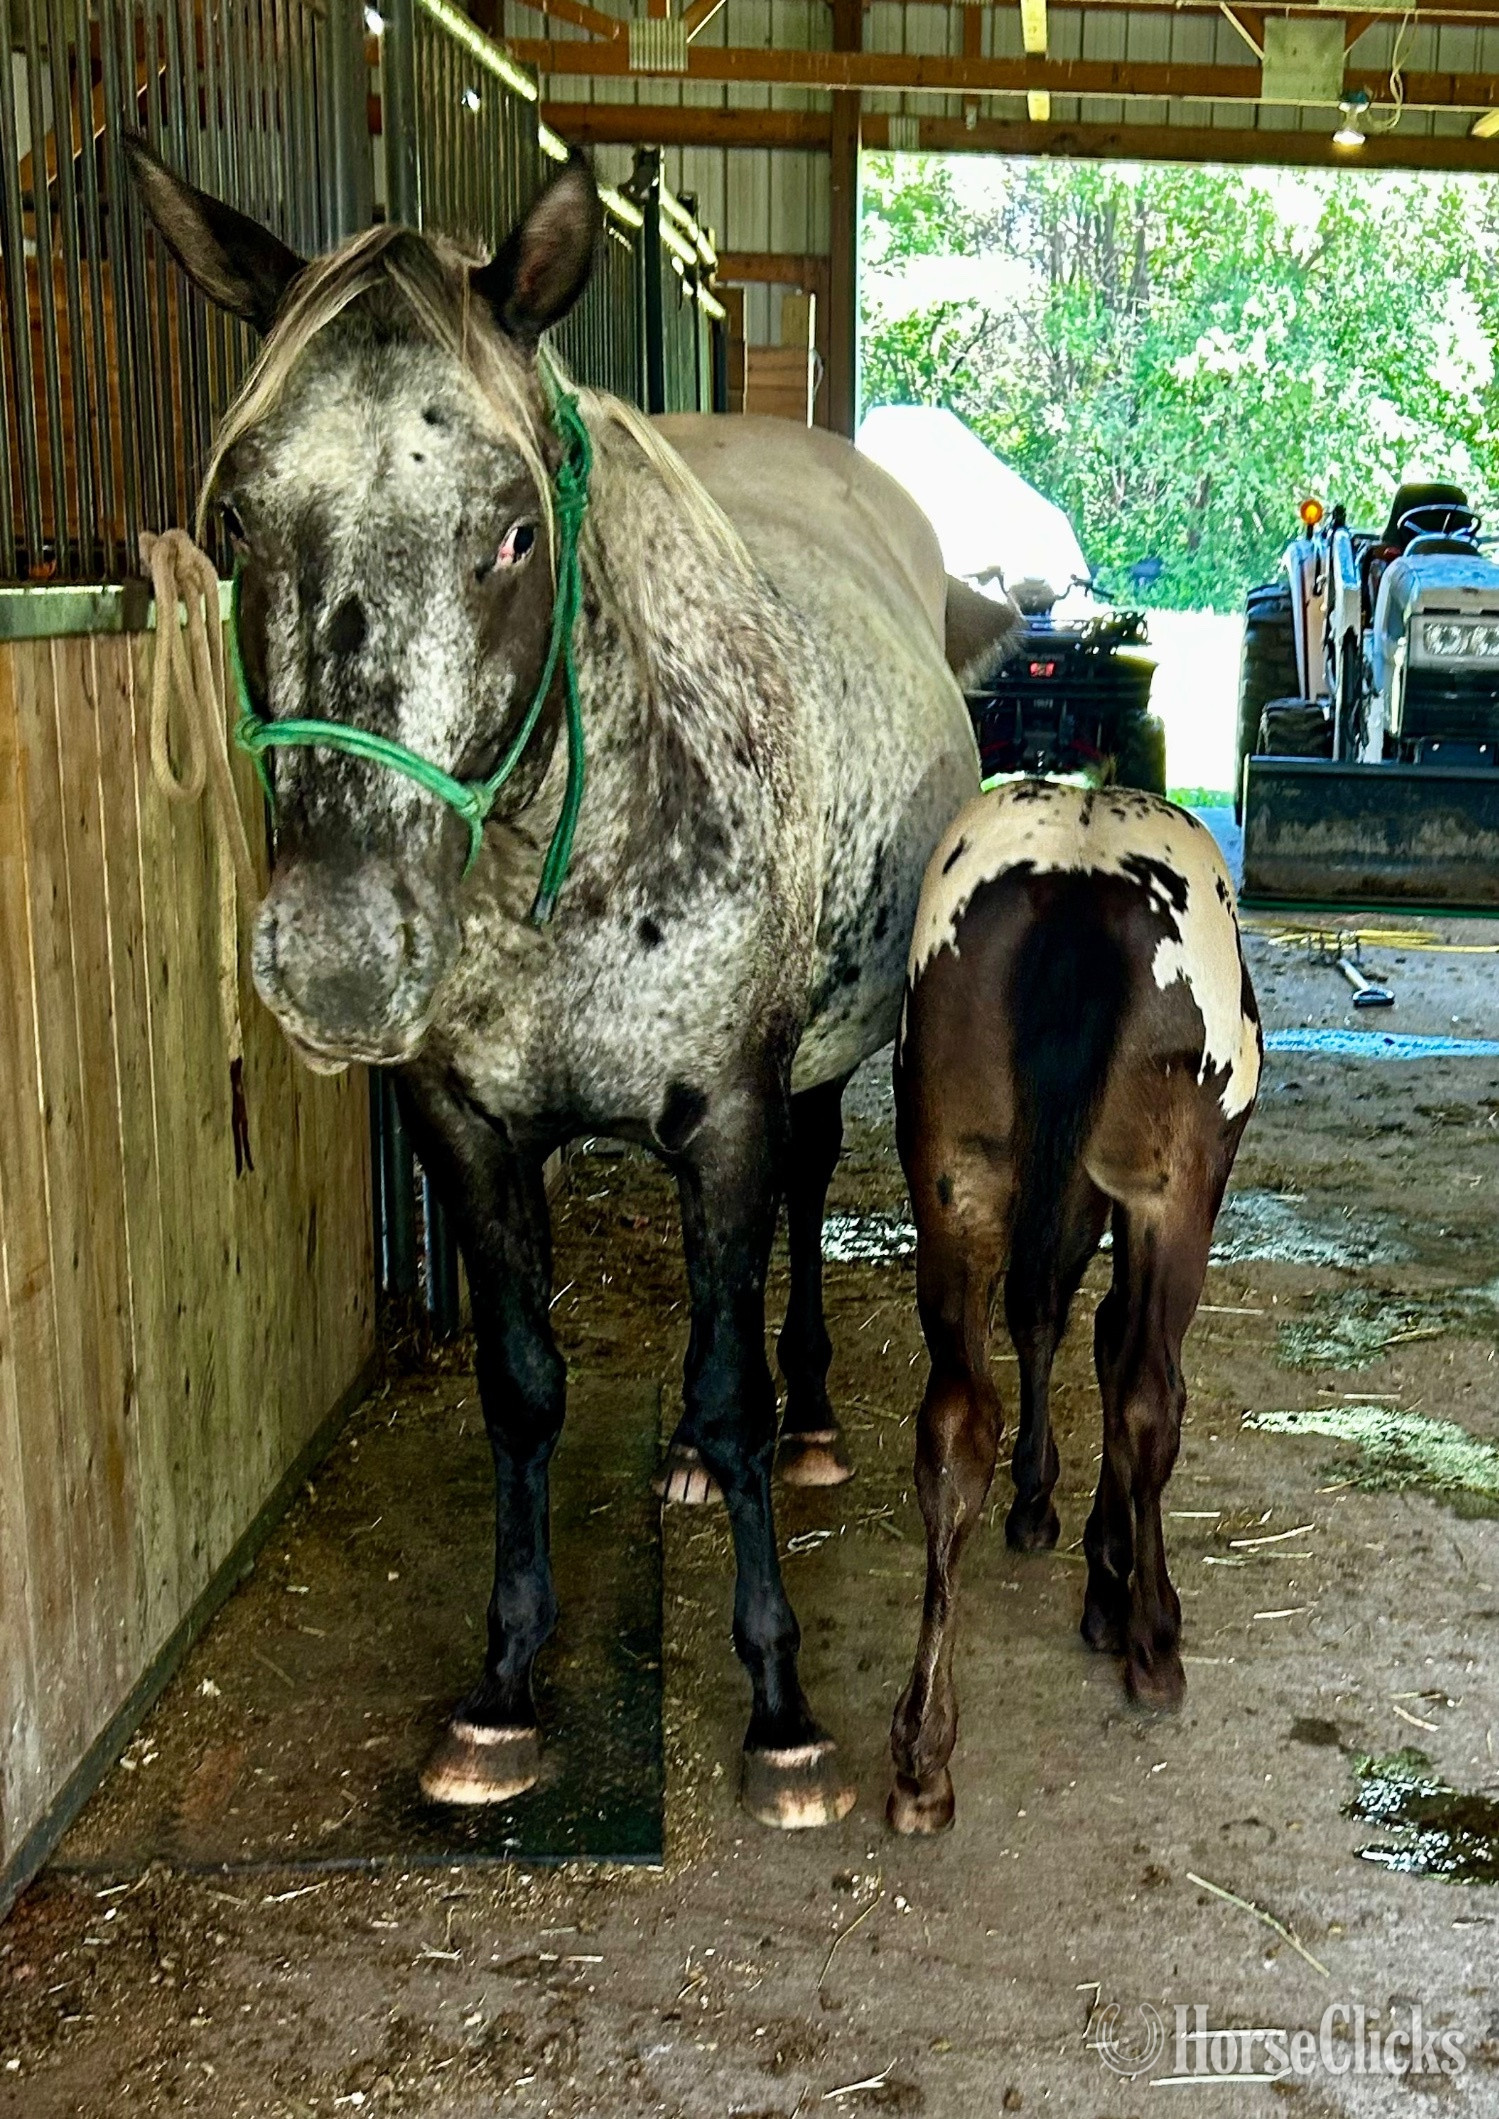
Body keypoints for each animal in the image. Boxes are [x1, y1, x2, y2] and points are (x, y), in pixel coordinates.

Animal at [127, 140, 1017, 1829]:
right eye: (237, 517)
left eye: (511, 533)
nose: (334, 956)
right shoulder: (463, 1133)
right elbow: (524, 1387)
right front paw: (500, 1689)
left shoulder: (726, 1111)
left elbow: (730, 1374)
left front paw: (781, 1711)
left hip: (810, 1072)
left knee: (800, 1219)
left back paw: (807, 1422)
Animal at [886, 779, 1260, 1835]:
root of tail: (1077, 890)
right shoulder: (1140, 1199)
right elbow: (1116, 1355)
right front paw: (1113, 1582)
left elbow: (1048, 1316)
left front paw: (1040, 1505)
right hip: (1175, 1192)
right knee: (1145, 1395)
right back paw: (1153, 1646)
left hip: (957, 1185)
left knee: (956, 1423)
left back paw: (923, 1751)